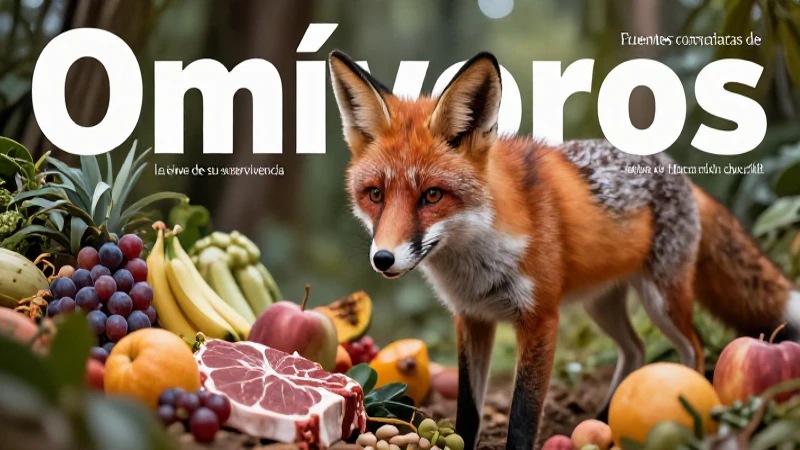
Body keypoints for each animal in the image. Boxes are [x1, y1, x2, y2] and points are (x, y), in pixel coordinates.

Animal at [328, 50, 800, 450]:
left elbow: (522, 416)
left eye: (431, 196)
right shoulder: (472, 319)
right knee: (635, 349)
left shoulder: (540, 319)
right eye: (374, 195)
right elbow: (469, 410)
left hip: (662, 302)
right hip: (601, 305)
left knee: (692, 350)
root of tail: (678, 170)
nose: (383, 259)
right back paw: (604, 417)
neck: (476, 255)